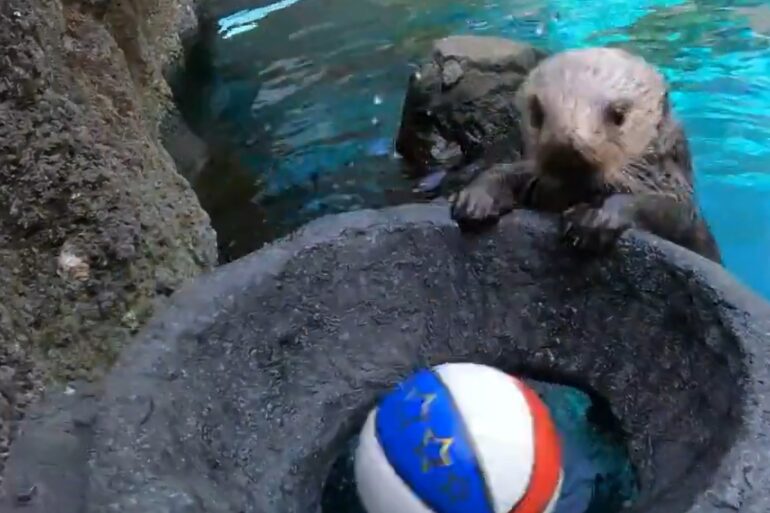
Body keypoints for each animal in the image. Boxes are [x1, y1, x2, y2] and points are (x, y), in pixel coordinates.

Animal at [449, 47, 722, 264]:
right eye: (537, 112)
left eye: (619, 114)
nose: (566, 142)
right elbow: (509, 171)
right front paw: (476, 198)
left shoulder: (678, 199)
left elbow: (665, 209)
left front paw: (594, 218)